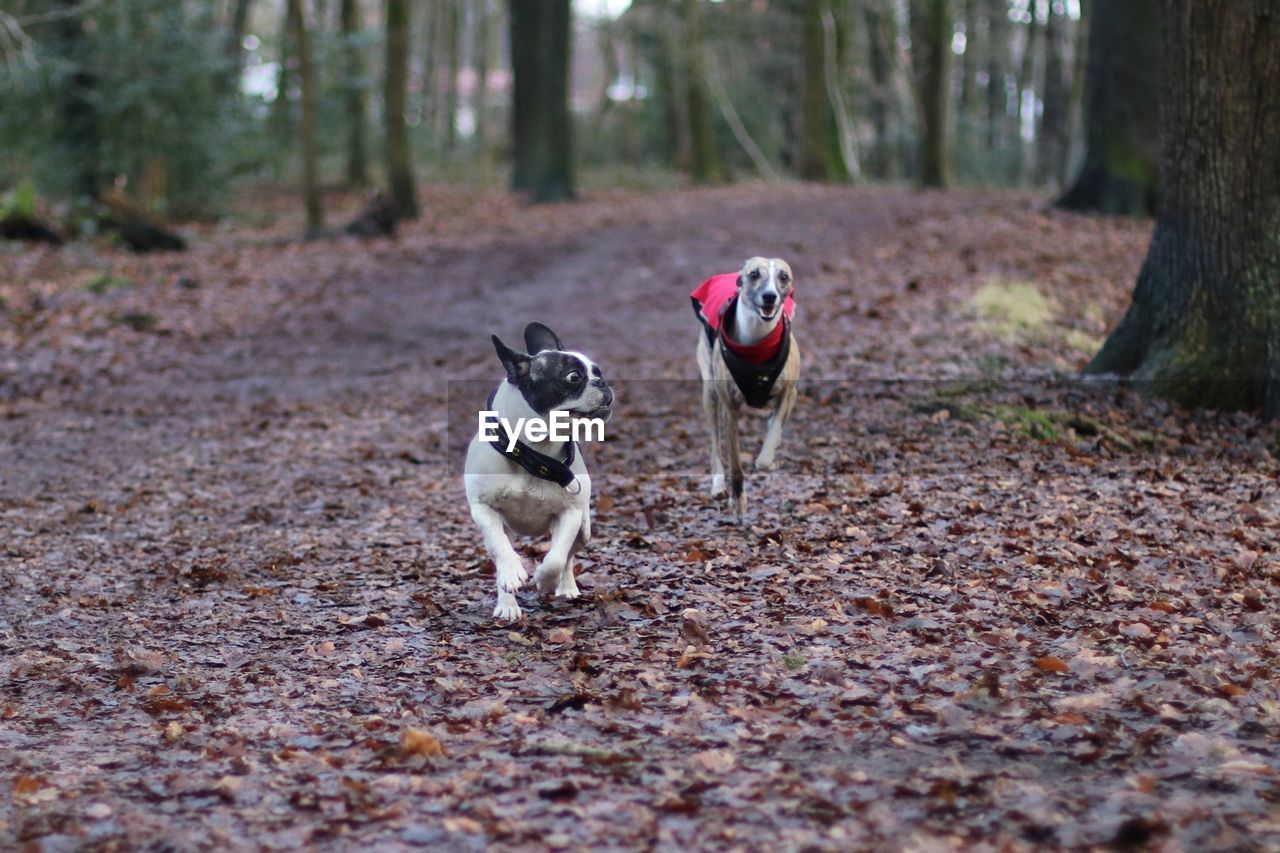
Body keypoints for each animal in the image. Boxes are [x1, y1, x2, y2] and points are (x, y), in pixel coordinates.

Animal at [465, 322, 614, 622]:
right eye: (573, 377)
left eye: (598, 371)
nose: (602, 382)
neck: (533, 451)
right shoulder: (483, 508)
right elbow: (501, 547)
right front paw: (512, 575)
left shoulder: (570, 513)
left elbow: (556, 558)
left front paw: (545, 580)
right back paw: (507, 602)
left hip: (584, 528)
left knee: (568, 555)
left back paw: (566, 587)